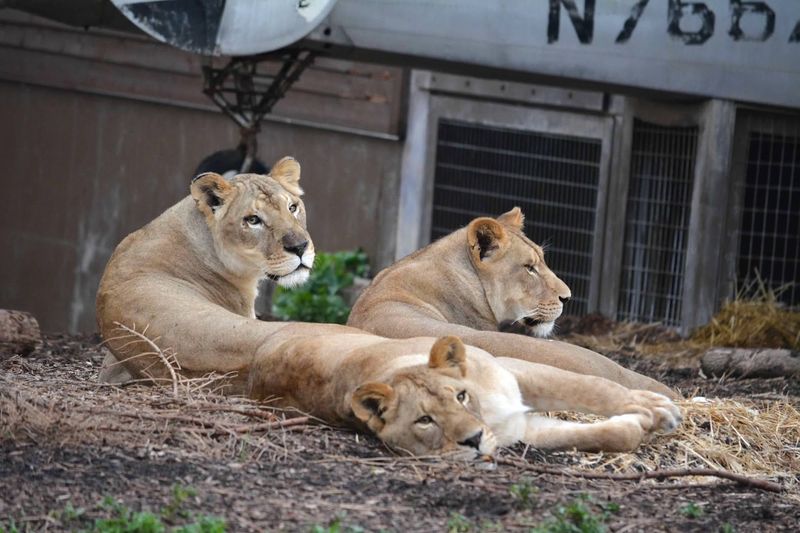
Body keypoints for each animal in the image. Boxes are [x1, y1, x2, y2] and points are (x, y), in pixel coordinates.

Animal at [248, 334, 682, 456]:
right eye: (425, 420)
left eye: (459, 396)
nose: (473, 441)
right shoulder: (520, 428)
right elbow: (609, 435)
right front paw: (638, 422)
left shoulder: (517, 371)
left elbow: (591, 386)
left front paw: (656, 409)